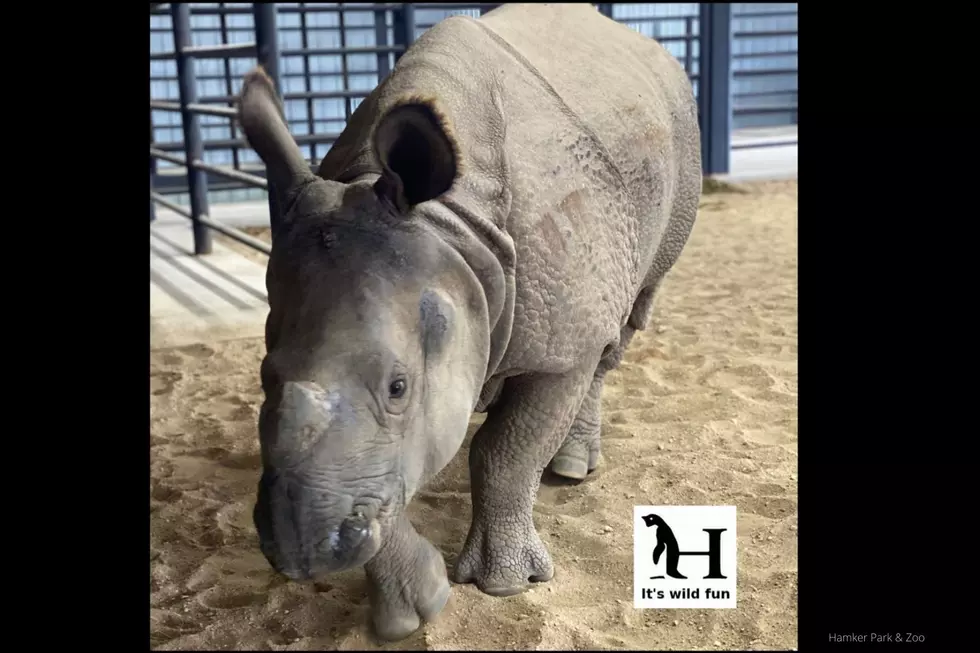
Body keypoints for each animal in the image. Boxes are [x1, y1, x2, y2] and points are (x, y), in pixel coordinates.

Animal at [237, 2, 701, 642]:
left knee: (622, 323)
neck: (452, 227)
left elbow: (506, 451)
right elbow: (390, 470)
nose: (302, 549)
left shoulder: (557, 347)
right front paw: (413, 612)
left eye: (398, 386)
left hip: (676, 144)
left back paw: (571, 469)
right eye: (264, 376)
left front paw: (503, 586)